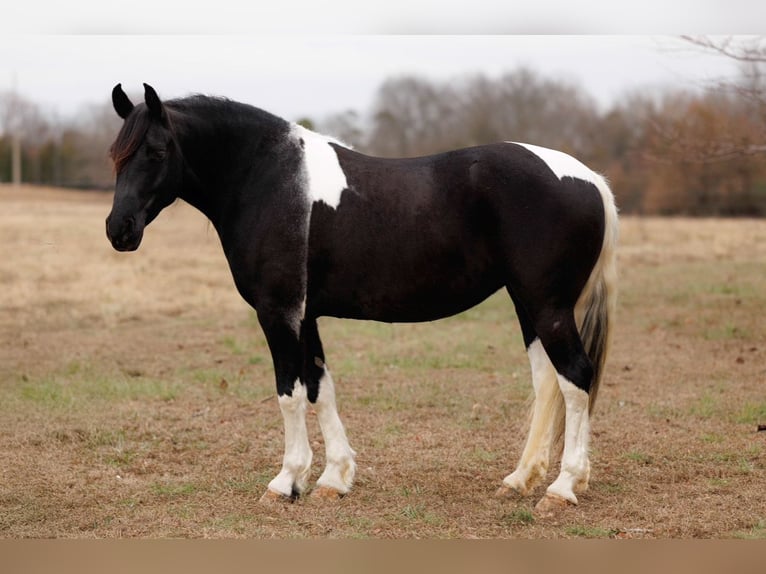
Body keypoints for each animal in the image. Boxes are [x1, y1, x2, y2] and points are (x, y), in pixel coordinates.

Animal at [106, 83, 618, 513]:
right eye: (116, 155)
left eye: (156, 150)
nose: (119, 230)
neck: (269, 178)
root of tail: (589, 178)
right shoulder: (305, 316)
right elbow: (319, 387)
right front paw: (333, 478)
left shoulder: (279, 313)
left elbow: (289, 393)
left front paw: (286, 482)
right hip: (529, 304)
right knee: (548, 383)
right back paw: (520, 479)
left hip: (547, 306)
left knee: (576, 377)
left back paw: (563, 487)